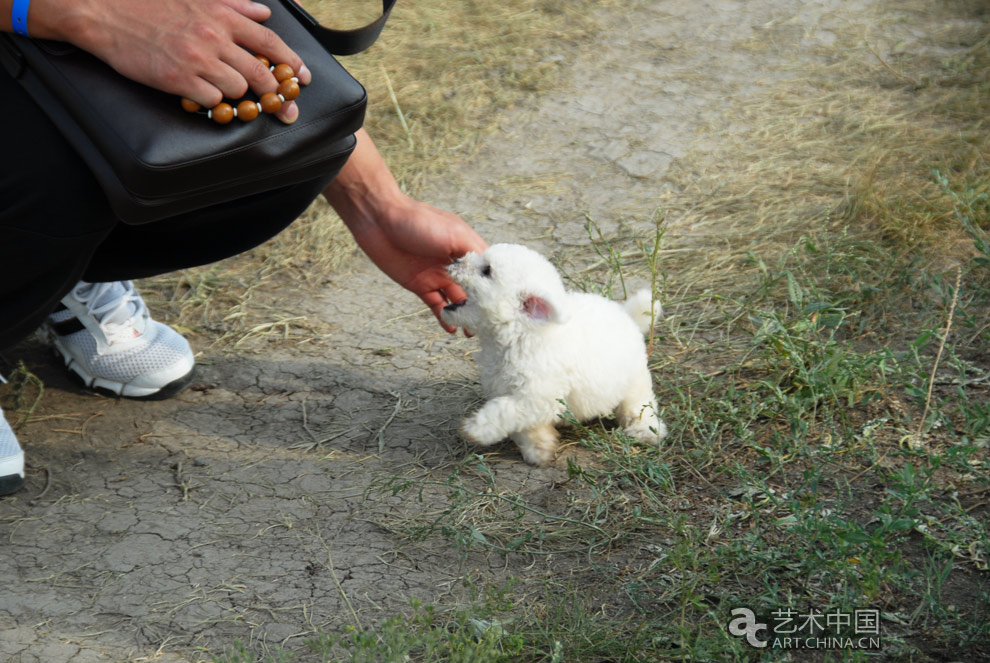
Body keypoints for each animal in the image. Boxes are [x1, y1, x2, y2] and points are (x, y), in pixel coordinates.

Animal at [444, 244, 672, 466]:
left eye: (487, 270)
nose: (455, 261)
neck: (520, 334)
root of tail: (626, 314)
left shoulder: (538, 398)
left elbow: (504, 411)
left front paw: (475, 429)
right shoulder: (507, 390)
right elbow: (522, 426)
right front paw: (539, 448)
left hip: (634, 380)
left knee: (639, 404)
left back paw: (645, 430)